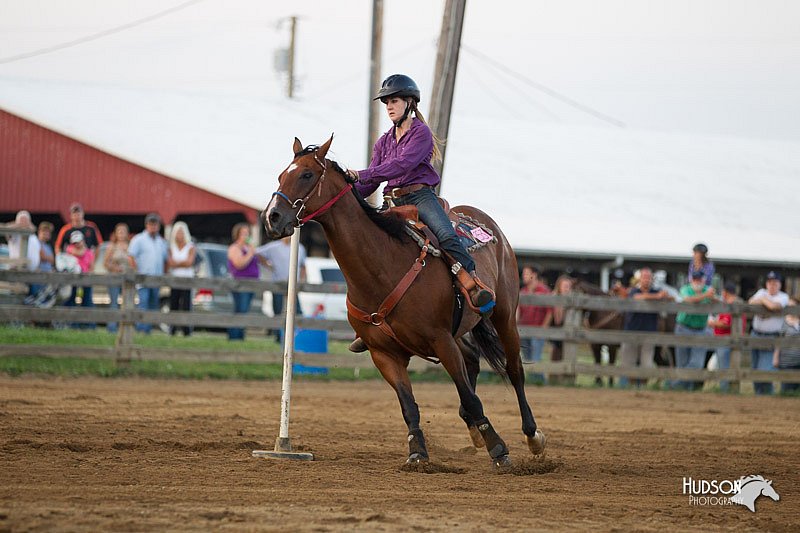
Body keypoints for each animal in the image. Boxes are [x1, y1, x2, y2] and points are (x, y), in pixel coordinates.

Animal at [260, 136, 544, 466]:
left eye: (306, 174)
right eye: (282, 175)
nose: (272, 217)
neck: (383, 266)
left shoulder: (440, 340)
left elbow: (470, 397)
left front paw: (498, 448)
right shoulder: (384, 353)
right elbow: (409, 405)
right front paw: (417, 452)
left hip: (504, 315)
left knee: (514, 370)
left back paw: (533, 436)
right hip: (459, 330)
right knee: (473, 360)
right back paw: (474, 430)